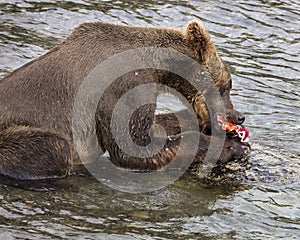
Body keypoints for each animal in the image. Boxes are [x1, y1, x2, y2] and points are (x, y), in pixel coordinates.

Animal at [0, 19, 248, 180]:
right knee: (55, 147)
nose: (239, 116)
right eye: (227, 85)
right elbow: (135, 148)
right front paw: (230, 146)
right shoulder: (122, 88)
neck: (157, 69)